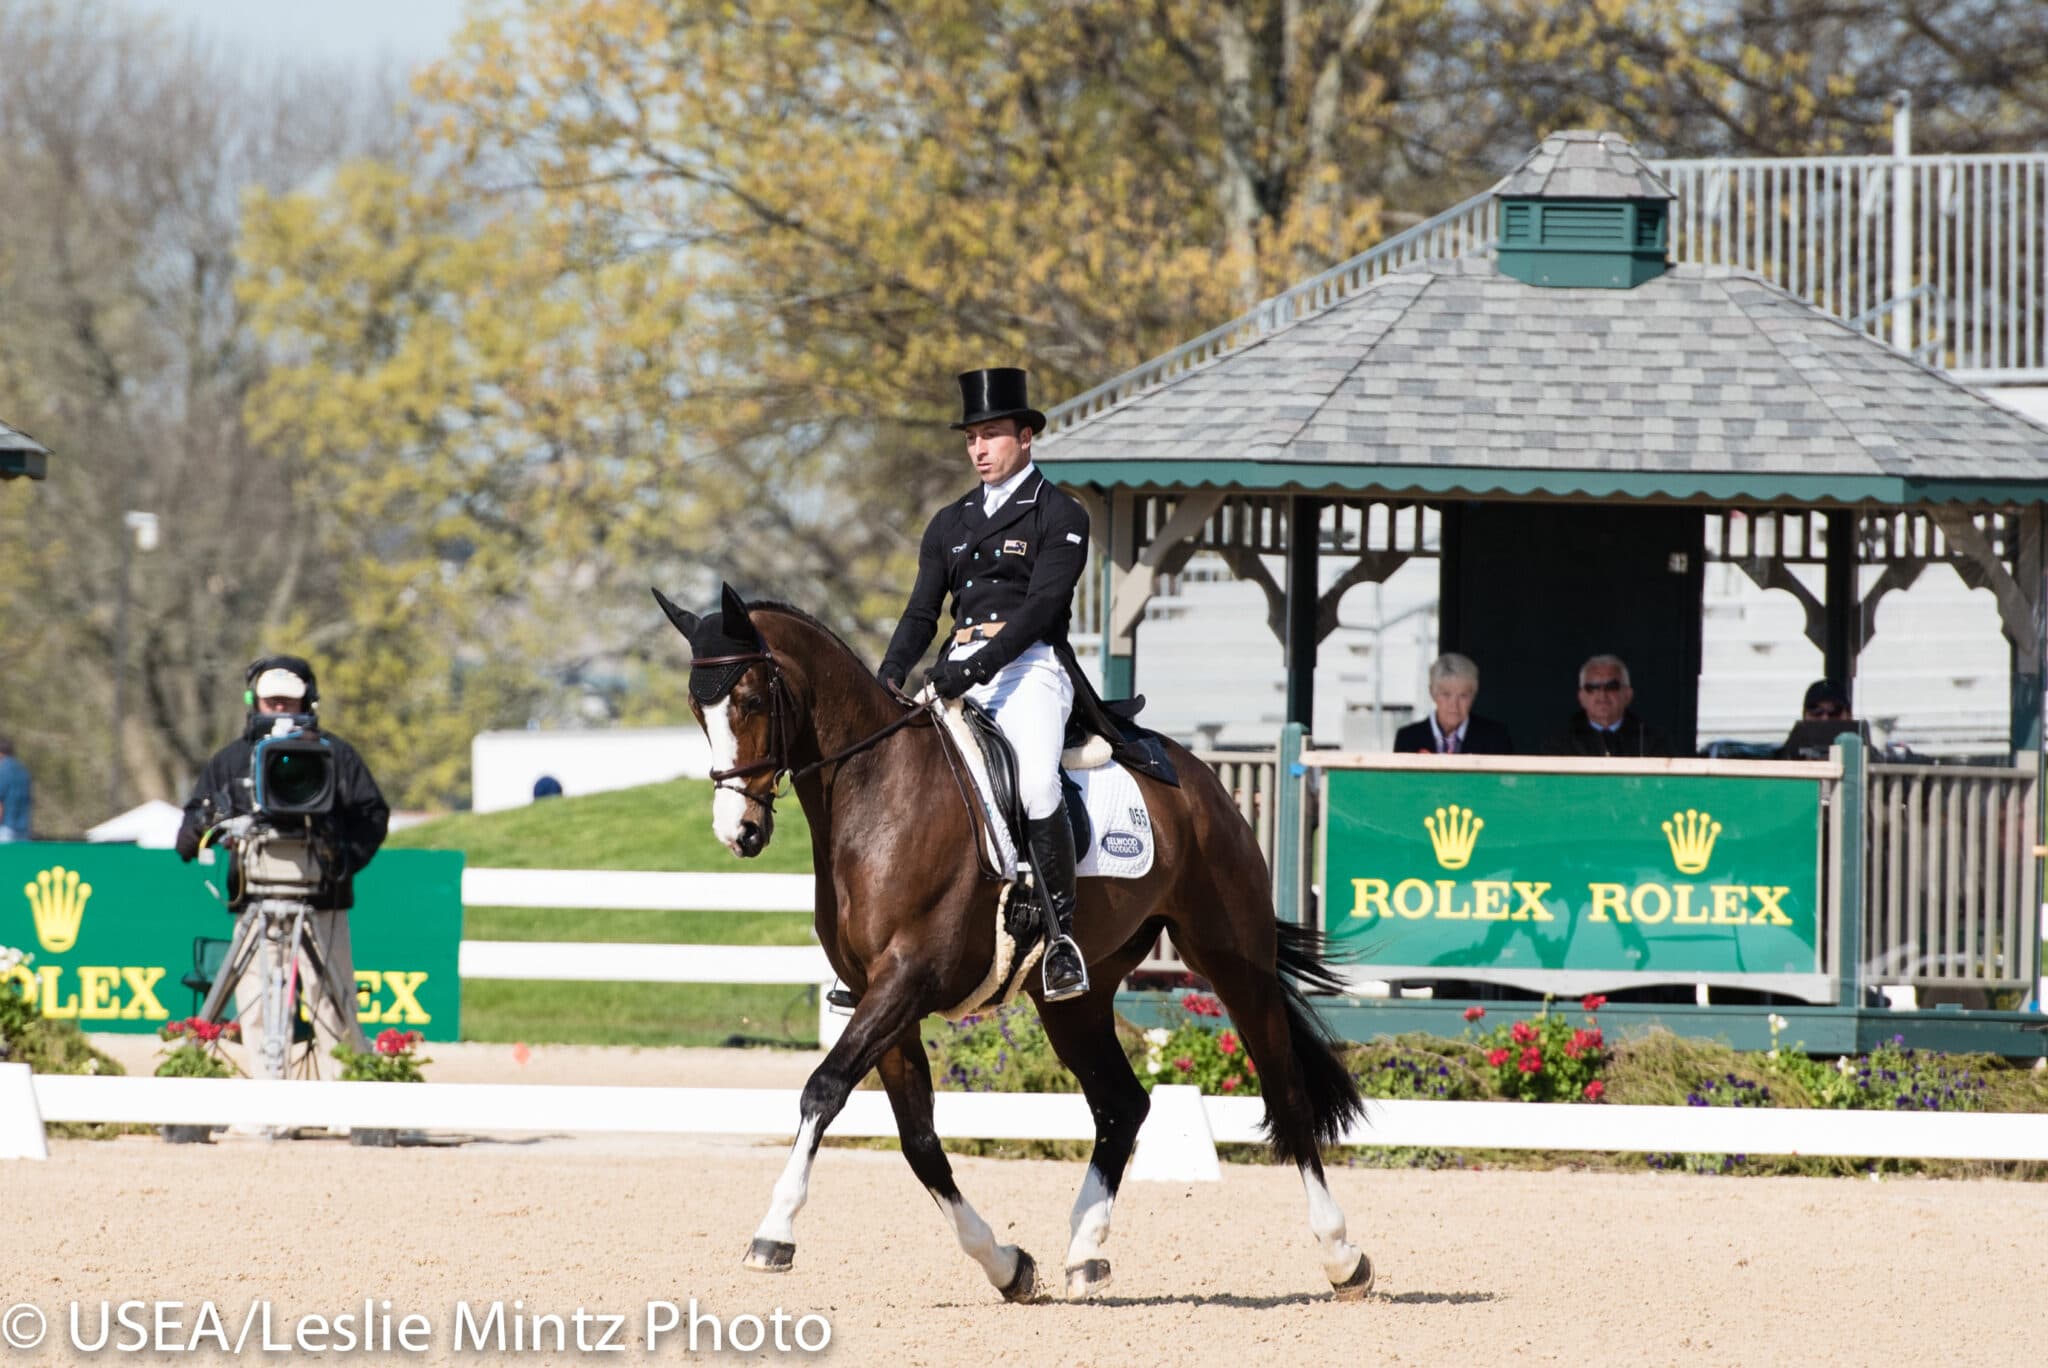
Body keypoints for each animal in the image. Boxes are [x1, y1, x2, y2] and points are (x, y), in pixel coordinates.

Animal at [654, 582, 1374, 1303]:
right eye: (696, 707)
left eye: (749, 699)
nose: (739, 832)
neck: (876, 791)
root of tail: (1203, 781)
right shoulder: (881, 998)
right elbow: (919, 1141)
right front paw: (1007, 1265)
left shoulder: (906, 980)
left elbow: (823, 1089)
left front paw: (773, 1232)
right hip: (1076, 998)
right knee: (1123, 1103)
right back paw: (1085, 1251)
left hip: (1232, 957)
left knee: (1284, 1091)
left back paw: (1342, 1255)